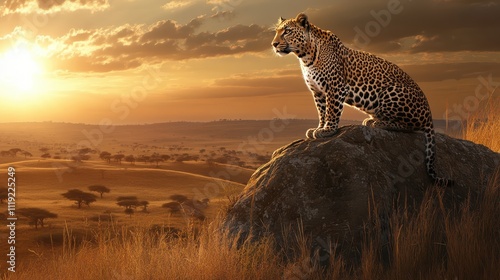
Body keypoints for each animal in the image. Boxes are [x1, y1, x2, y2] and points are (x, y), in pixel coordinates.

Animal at [274, 13, 454, 188]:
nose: (274, 44)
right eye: (276, 32)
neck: (306, 56)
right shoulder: (317, 92)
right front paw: (319, 128)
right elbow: (322, 112)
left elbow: (332, 112)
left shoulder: (335, 88)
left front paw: (328, 130)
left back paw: (376, 122)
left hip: (390, 93)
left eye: (287, 31)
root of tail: (429, 114)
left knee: (412, 126)